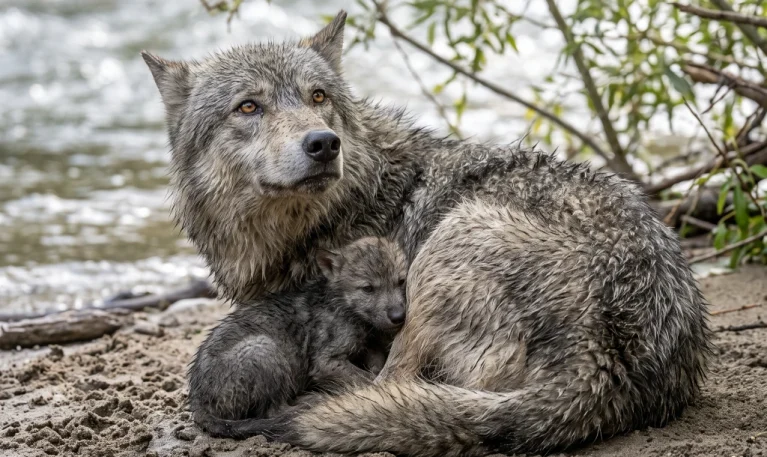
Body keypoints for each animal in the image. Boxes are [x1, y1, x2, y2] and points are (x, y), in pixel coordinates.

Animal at [189, 236, 407, 438]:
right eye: (368, 288)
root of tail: (197, 399)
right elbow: (366, 378)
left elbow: (375, 366)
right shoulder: (325, 361)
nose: (398, 316)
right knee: (273, 411)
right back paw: (311, 400)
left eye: (401, 281)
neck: (342, 303)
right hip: (263, 348)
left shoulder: (366, 345)